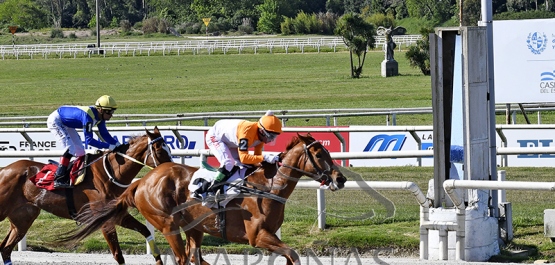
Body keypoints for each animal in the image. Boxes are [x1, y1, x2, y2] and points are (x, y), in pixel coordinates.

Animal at [0, 126, 173, 264]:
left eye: (169, 148)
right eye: (159, 149)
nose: (171, 167)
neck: (109, 174)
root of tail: (4, 169)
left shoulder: (117, 214)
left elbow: (145, 230)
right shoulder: (104, 220)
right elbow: (118, 254)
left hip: (23, 218)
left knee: (6, 249)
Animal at [62, 133, 348, 264]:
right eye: (319, 154)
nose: (340, 178)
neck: (266, 188)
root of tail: (140, 182)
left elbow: (290, 255)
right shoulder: (257, 236)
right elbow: (292, 253)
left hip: (194, 228)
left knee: (193, 257)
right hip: (168, 225)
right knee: (181, 259)